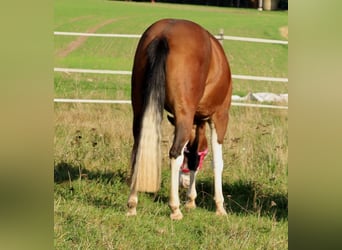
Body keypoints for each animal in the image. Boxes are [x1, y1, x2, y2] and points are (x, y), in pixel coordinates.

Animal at [127, 18, 234, 220]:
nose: (183, 183)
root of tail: (164, 34)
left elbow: (193, 159)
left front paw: (191, 200)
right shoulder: (219, 118)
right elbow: (217, 163)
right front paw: (219, 206)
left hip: (139, 109)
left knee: (138, 149)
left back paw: (132, 204)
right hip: (185, 115)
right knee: (174, 153)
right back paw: (175, 209)